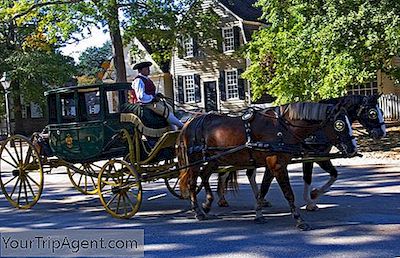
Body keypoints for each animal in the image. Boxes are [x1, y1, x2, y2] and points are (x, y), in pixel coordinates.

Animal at [178, 103, 356, 230]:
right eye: (340, 124)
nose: (353, 148)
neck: (283, 128)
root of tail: (191, 122)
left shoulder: (272, 165)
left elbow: (263, 189)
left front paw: (258, 213)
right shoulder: (277, 165)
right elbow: (289, 193)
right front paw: (299, 219)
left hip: (215, 159)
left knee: (205, 175)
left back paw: (208, 203)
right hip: (196, 160)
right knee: (193, 182)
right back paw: (198, 211)